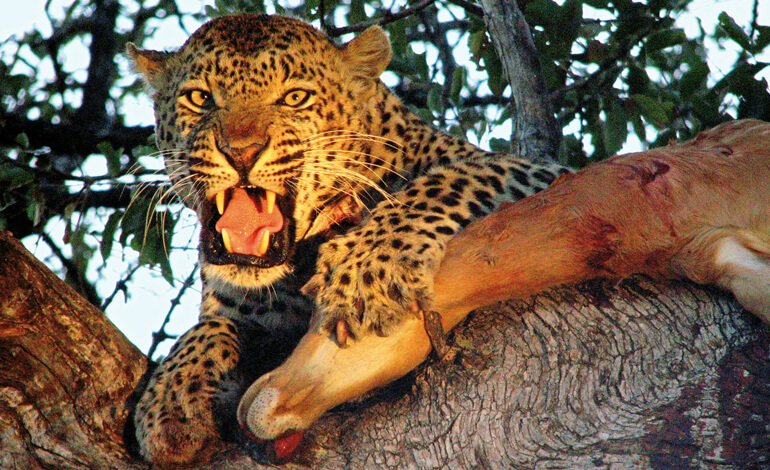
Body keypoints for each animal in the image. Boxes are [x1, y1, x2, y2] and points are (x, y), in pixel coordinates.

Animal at [127, 13, 568, 465]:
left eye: (295, 98)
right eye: (200, 98)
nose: (241, 151)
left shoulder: (548, 174)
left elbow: (446, 182)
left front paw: (362, 271)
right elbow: (215, 325)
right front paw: (170, 398)